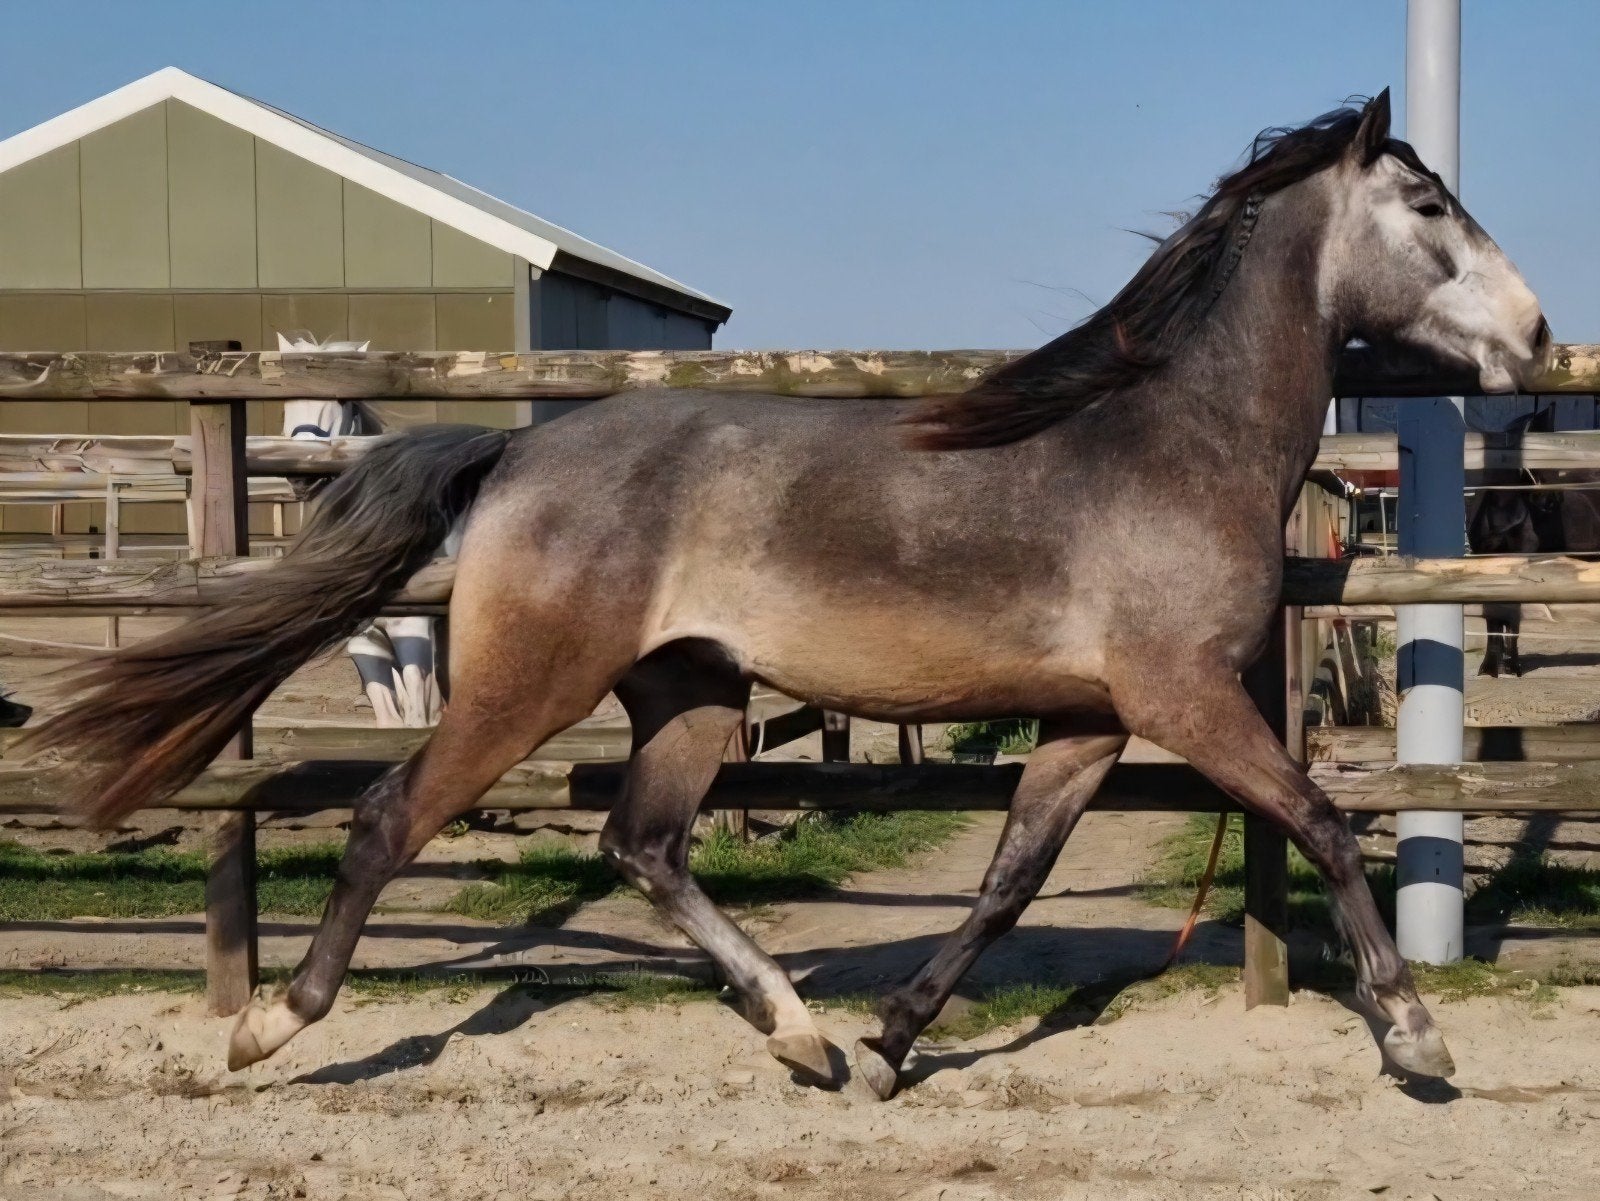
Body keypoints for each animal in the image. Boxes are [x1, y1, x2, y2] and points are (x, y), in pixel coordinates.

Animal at [28, 92, 1549, 1097]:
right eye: (1428, 207)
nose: (1535, 336)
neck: (1169, 444)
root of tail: (517, 448)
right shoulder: (1183, 697)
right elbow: (1326, 823)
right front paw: (1417, 1037)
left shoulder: (1091, 720)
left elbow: (1009, 881)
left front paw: (889, 1042)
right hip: (532, 683)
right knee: (394, 815)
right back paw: (269, 1028)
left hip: (695, 698)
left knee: (642, 844)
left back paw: (802, 1034)